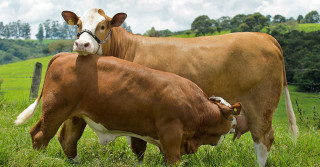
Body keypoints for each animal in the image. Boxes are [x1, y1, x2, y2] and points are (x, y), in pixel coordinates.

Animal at [14, 53, 242, 164]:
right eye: (232, 119)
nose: (237, 129)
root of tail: (65, 54)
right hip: (54, 111)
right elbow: (172, 158)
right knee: (40, 135)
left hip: (76, 116)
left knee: (67, 140)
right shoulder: (170, 133)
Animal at [61, 8, 298, 166]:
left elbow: (138, 147)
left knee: (263, 140)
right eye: (78, 25)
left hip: (260, 108)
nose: (82, 44)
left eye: (104, 25)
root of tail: (264, 36)